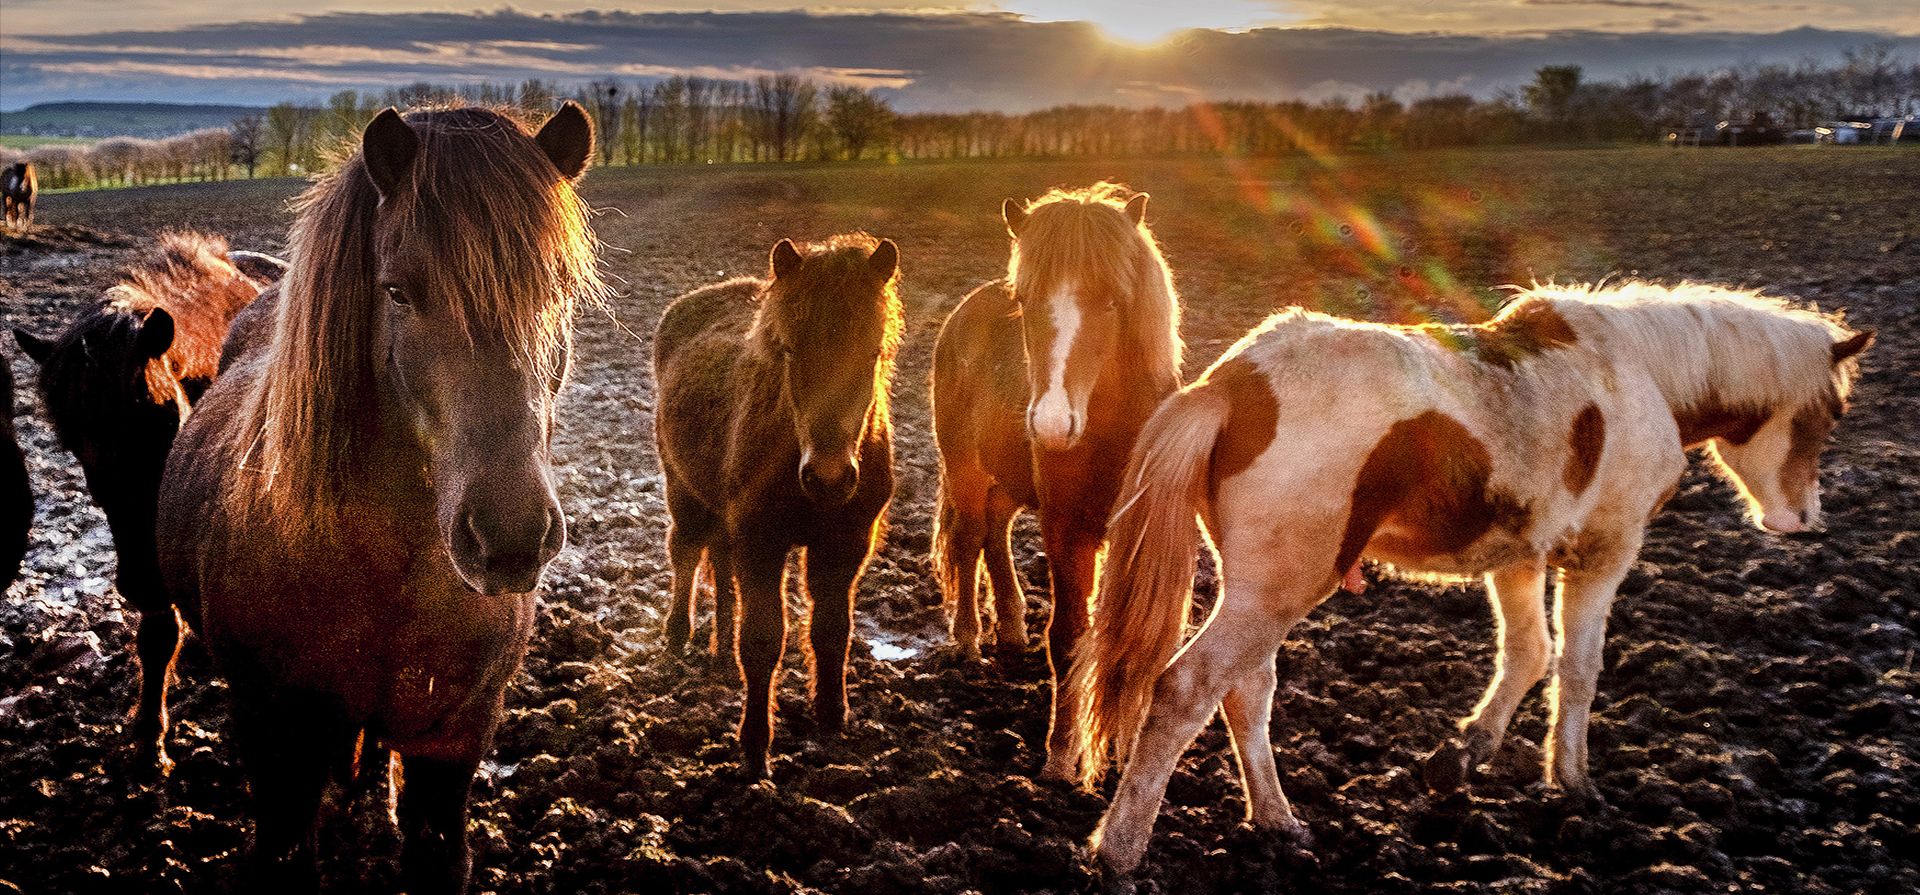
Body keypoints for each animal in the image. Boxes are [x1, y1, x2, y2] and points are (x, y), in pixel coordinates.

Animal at [155, 103, 602, 893]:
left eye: (560, 290)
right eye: (396, 291)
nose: (511, 536)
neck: (386, 576)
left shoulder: (454, 739)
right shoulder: (280, 742)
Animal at [653, 233, 901, 780]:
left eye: (873, 351)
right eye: (789, 349)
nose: (829, 476)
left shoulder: (844, 546)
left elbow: (831, 631)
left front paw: (831, 716)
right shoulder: (761, 541)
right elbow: (764, 641)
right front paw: (755, 748)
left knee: (720, 566)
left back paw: (720, 655)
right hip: (685, 491)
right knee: (686, 554)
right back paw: (678, 637)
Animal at [930, 183, 1181, 778]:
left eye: (1112, 301)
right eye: (1025, 301)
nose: (1049, 423)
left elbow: (1134, 645)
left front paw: (1127, 748)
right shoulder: (1068, 529)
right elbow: (1069, 637)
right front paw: (1063, 756)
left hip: (1007, 480)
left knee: (995, 533)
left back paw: (1012, 628)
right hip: (965, 468)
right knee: (969, 537)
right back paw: (969, 639)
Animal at [1066, 280, 1873, 876]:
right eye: (1830, 412)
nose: (1802, 518)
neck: (1638, 374)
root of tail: (1233, 385)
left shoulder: (1520, 555)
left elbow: (1528, 653)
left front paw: (1462, 756)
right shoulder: (1604, 552)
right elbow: (1578, 666)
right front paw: (1573, 783)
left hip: (1264, 591)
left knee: (1244, 692)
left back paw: (1277, 821)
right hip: (1278, 589)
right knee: (1188, 687)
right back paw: (1121, 850)